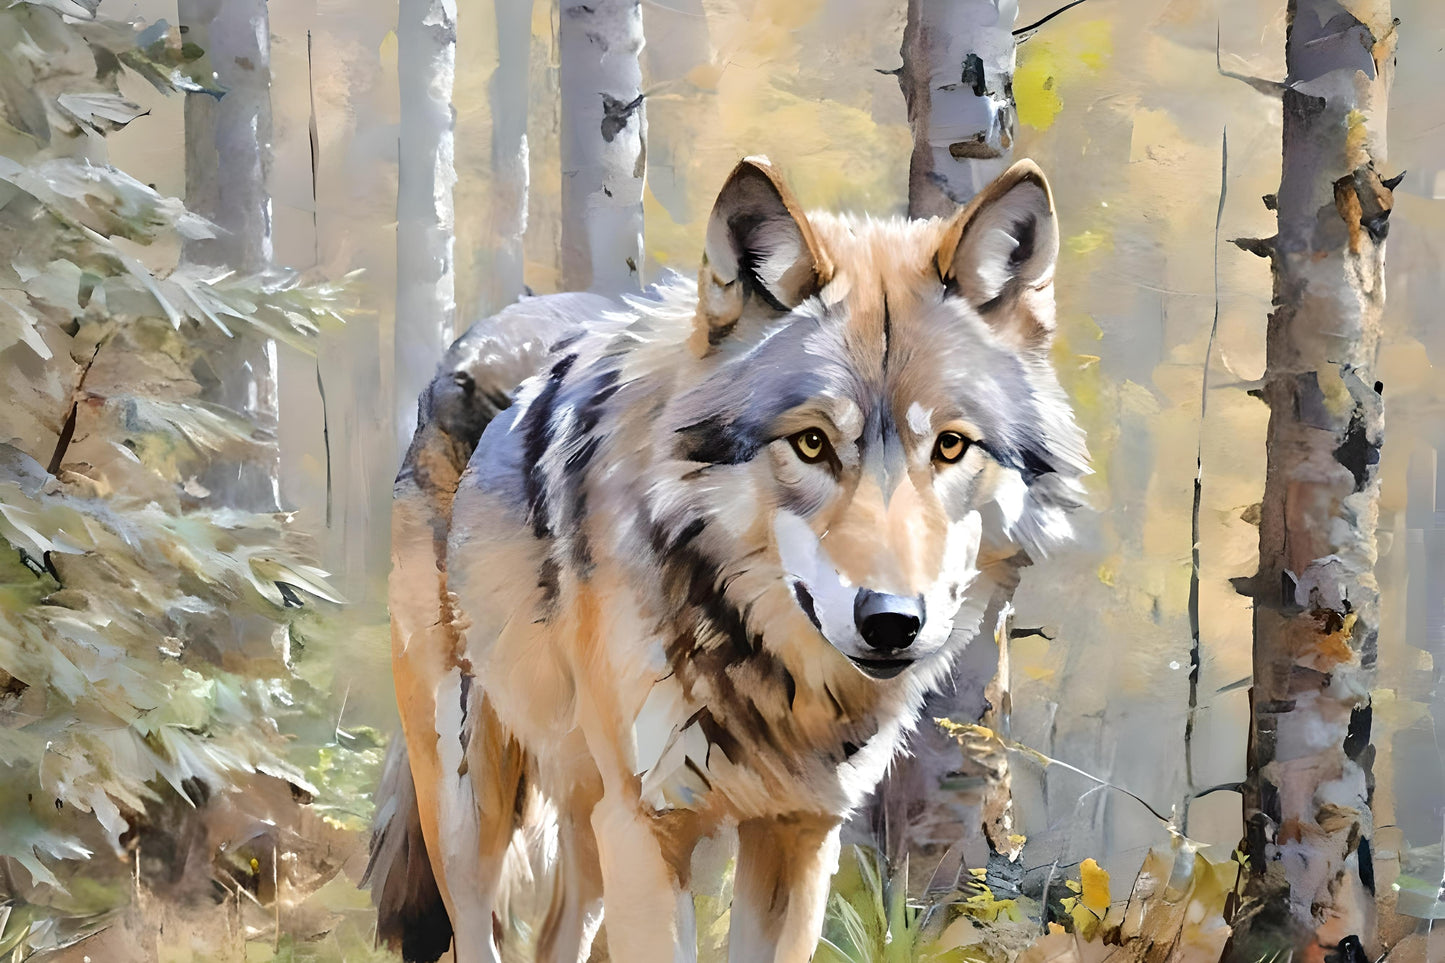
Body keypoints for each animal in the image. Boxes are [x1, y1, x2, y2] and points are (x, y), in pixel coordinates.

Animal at [367, 157, 1088, 963]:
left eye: (951, 445)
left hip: (587, 820)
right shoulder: (648, 829)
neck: (757, 665)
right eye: (811, 442)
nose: (892, 621)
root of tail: (484, 332)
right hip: (472, 798)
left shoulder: (798, 832)